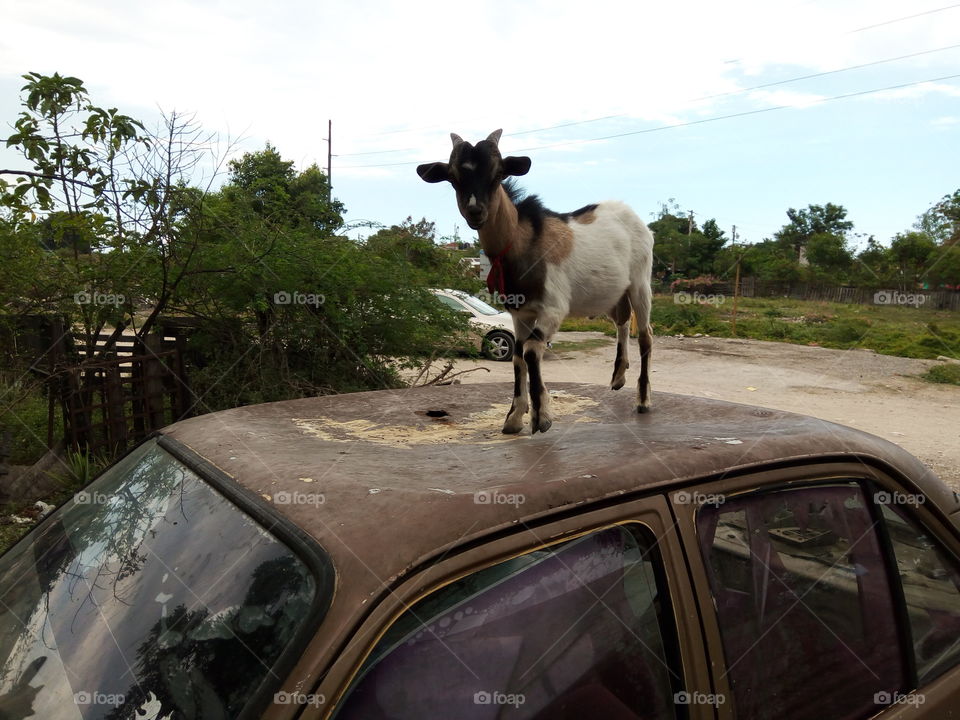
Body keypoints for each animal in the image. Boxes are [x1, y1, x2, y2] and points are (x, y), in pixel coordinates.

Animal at [417, 129, 654, 434]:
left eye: (498, 174)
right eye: (453, 177)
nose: (475, 212)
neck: (522, 241)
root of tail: (629, 213)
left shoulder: (553, 308)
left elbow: (531, 351)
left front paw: (542, 417)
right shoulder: (520, 314)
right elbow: (518, 356)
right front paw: (514, 418)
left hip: (641, 281)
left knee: (646, 335)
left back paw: (643, 400)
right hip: (614, 293)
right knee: (622, 321)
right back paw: (617, 378)